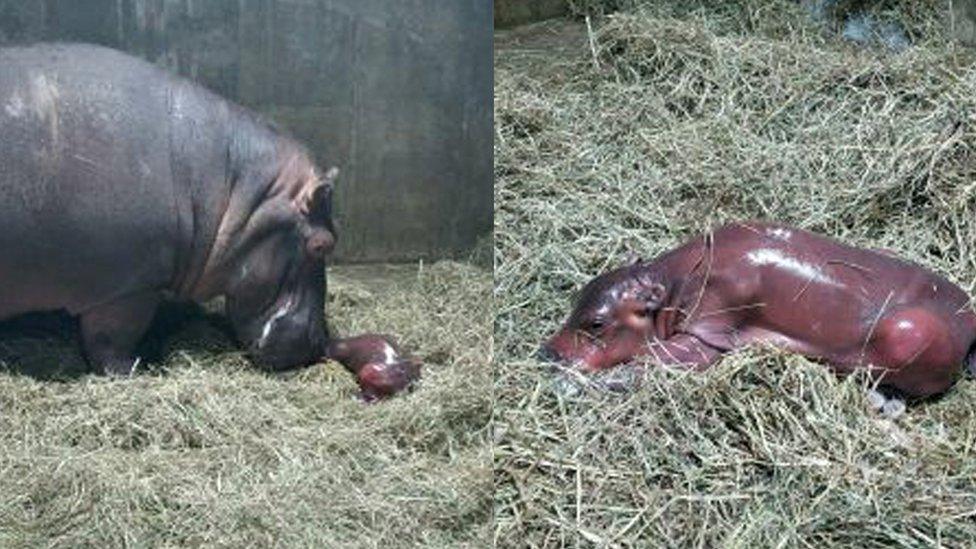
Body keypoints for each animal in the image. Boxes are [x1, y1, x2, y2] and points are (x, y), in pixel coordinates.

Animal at [0, 41, 420, 394]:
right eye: (323, 245)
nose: (318, 341)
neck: (234, 193)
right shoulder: (128, 286)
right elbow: (111, 341)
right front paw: (137, 370)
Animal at [540, 222, 976, 398]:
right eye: (576, 300)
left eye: (596, 323)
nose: (548, 352)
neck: (669, 284)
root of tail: (970, 320)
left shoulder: (709, 324)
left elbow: (658, 359)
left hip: (908, 332)